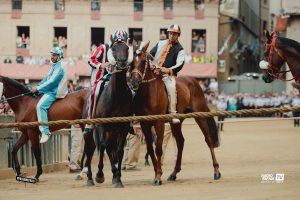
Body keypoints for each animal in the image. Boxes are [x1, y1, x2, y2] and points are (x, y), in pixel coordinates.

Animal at [82, 34, 134, 188]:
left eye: (127, 48)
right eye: (114, 48)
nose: (122, 62)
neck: (116, 95)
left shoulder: (123, 126)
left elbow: (119, 150)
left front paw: (118, 177)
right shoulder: (101, 124)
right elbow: (103, 146)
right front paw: (100, 175)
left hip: (112, 132)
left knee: (110, 148)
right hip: (90, 132)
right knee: (90, 150)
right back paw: (90, 178)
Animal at [128, 41, 220, 185]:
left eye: (143, 61)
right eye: (131, 62)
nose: (134, 82)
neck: (149, 92)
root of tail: (194, 82)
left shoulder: (159, 123)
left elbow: (158, 148)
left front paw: (158, 176)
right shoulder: (145, 124)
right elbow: (150, 148)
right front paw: (157, 172)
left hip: (200, 117)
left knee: (208, 140)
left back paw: (216, 171)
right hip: (176, 122)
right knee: (181, 142)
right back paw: (174, 173)